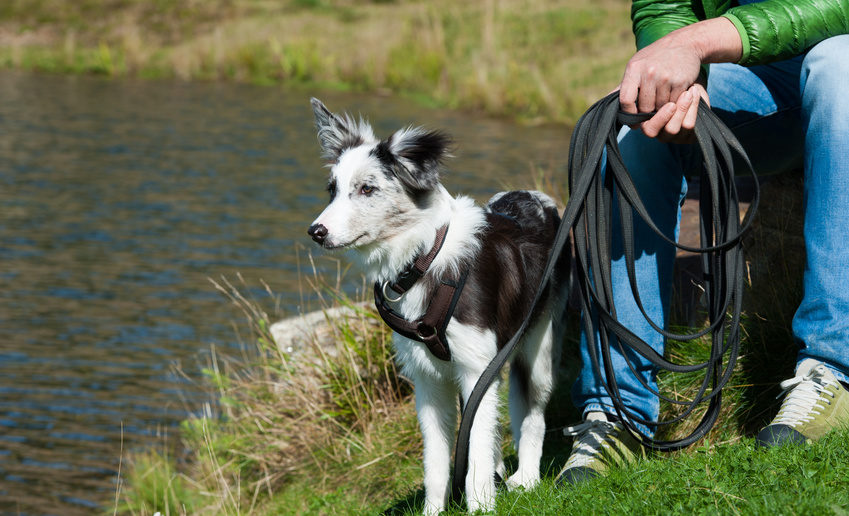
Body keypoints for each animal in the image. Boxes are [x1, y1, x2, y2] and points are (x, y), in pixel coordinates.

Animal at [308, 99, 568, 512]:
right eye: (332, 190)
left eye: (367, 188)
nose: (315, 232)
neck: (423, 258)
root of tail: (534, 196)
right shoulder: (428, 380)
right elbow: (437, 460)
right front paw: (434, 509)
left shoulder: (476, 366)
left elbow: (475, 455)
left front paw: (481, 507)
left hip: (538, 347)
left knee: (532, 414)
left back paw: (526, 478)